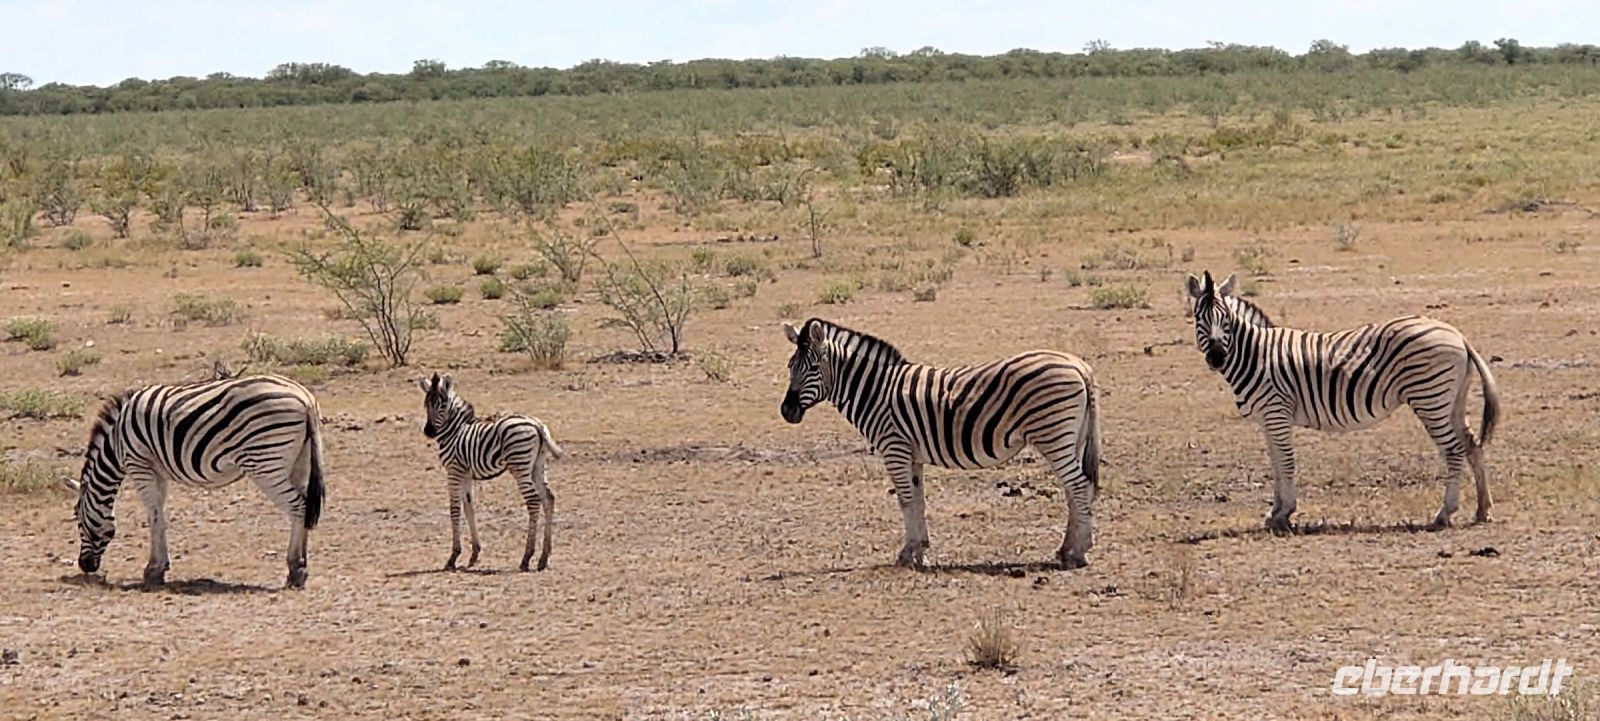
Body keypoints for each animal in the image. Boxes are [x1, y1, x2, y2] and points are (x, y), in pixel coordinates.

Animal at [64, 374, 326, 589]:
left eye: (78, 519)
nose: (85, 566)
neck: (116, 441)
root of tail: (305, 398)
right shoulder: (158, 471)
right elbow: (159, 512)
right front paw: (160, 567)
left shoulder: (139, 464)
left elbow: (153, 514)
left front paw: (153, 570)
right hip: (298, 462)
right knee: (305, 507)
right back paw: (301, 567)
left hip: (265, 463)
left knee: (298, 506)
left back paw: (295, 568)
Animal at [416, 372, 563, 572]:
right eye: (426, 404)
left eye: (443, 405)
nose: (429, 431)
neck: (455, 432)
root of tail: (537, 424)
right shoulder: (466, 474)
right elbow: (469, 508)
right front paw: (474, 554)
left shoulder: (454, 471)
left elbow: (454, 510)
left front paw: (453, 557)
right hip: (537, 465)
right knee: (548, 498)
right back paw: (543, 558)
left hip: (520, 464)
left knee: (534, 501)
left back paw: (526, 558)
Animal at [780, 318, 1101, 569]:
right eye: (790, 366)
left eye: (813, 367)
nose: (787, 411)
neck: (875, 391)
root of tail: (1078, 365)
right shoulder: (911, 453)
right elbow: (917, 499)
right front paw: (920, 550)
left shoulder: (894, 447)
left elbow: (905, 500)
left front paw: (907, 553)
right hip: (1069, 438)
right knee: (1074, 489)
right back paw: (1065, 550)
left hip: (1053, 434)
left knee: (1078, 485)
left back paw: (1079, 552)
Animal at [1185, 270, 1501, 532]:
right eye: (1199, 319)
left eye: (1226, 320)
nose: (1217, 357)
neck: (1255, 355)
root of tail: (1457, 335)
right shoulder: (1267, 419)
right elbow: (1275, 463)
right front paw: (1274, 512)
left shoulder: (1277, 412)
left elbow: (1285, 462)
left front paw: (1285, 513)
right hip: (1451, 401)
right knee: (1472, 445)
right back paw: (1482, 510)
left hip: (1430, 399)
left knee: (1454, 450)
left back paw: (1444, 513)